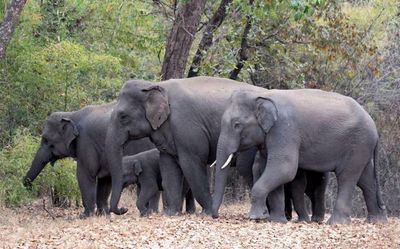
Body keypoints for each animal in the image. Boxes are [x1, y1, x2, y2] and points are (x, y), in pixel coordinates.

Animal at [23, 102, 155, 217]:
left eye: (46, 140)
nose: (29, 187)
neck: (71, 114)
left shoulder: (85, 142)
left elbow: (85, 174)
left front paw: (85, 216)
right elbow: (105, 179)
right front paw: (103, 215)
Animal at [214, 88, 386, 225]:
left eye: (237, 125)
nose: (214, 216)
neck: (263, 95)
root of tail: (375, 127)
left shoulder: (284, 130)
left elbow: (284, 169)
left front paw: (257, 217)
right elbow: (270, 169)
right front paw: (276, 221)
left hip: (358, 143)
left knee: (347, 177)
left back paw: (336, 223)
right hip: (362, 147)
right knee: (366, 180)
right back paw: (376, 221)